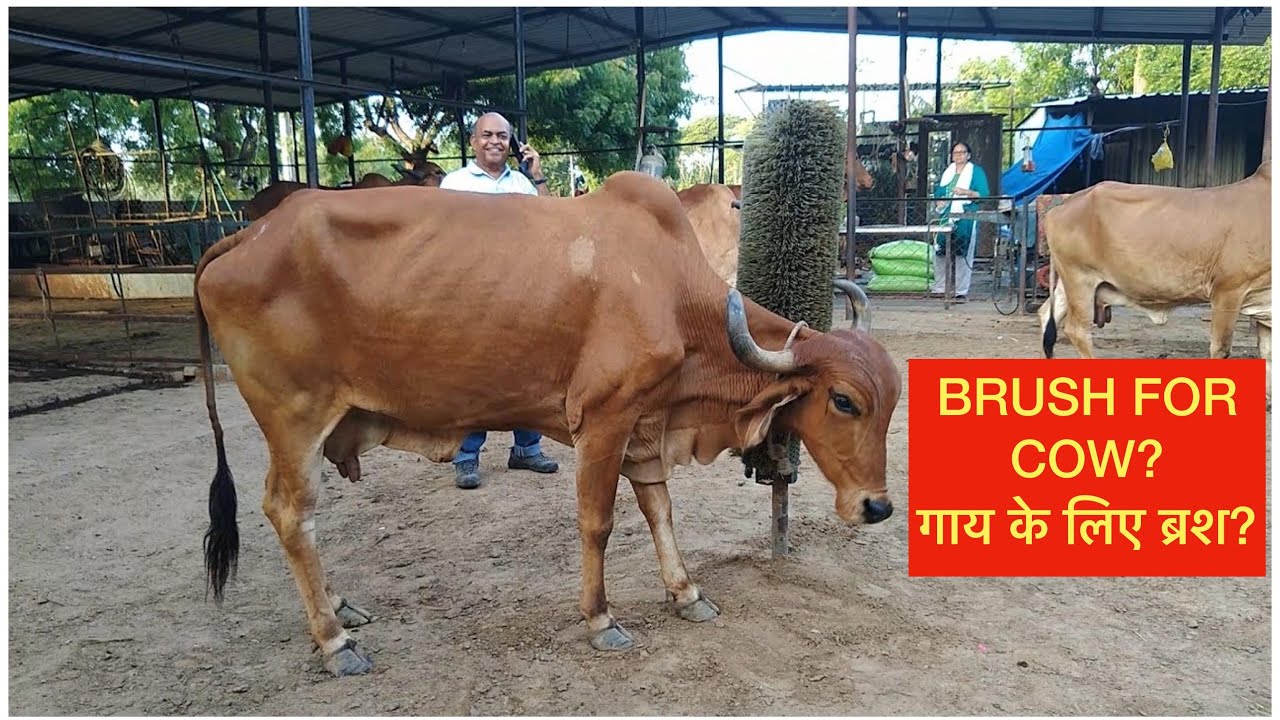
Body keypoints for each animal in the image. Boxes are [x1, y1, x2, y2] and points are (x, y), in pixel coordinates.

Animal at [195, 171, 901, 676]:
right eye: (844, 401)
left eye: (893, 399)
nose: (878, 507)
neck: (674, 292)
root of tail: (248, 235)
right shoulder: (606, 420)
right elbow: (599, 523)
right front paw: (600, 619)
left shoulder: (646, 424)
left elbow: (661, 511)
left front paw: (685, 592)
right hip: (295, 417)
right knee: (290, 512)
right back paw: (334, 640)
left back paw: (339, 606)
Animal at [1039, 160, 1272, 400]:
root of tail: (1063, 204)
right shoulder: (1228, 290)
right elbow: (1221, 349)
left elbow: (1267, 355)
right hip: (1080, 278)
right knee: (1076, 330)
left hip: (1068, 282)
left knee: (1047, 315)